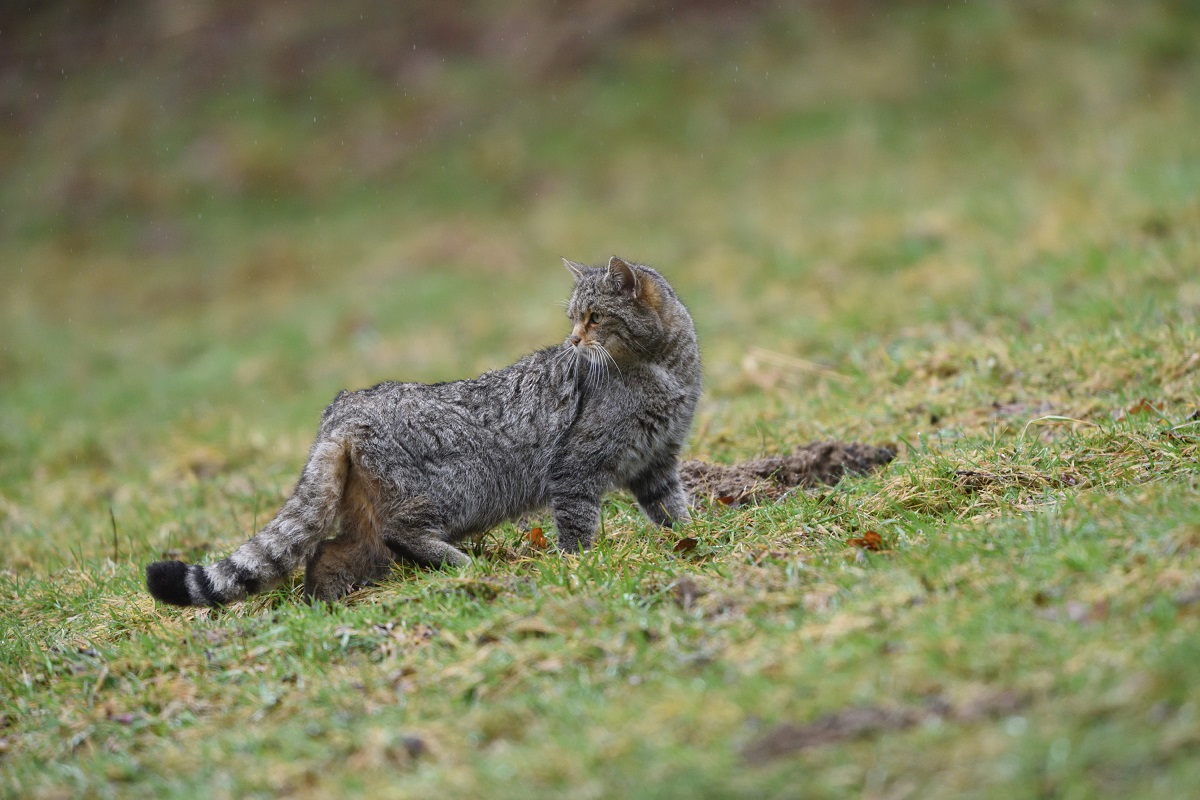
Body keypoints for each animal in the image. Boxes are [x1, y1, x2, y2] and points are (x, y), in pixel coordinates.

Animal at [144, 256, 700, 606]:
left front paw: (692, 538)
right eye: (575, 318)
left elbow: (672, 509)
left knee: (328, 553)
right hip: (456, 489)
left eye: (595, 317)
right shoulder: (577, 470)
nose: (573, 341)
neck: (662, 370)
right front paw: (578, 565)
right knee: (398, 532)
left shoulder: (658, 461)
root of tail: (342, 407)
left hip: (365, 521)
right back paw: (460, 563)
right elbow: (579, 526)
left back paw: (323, 602)